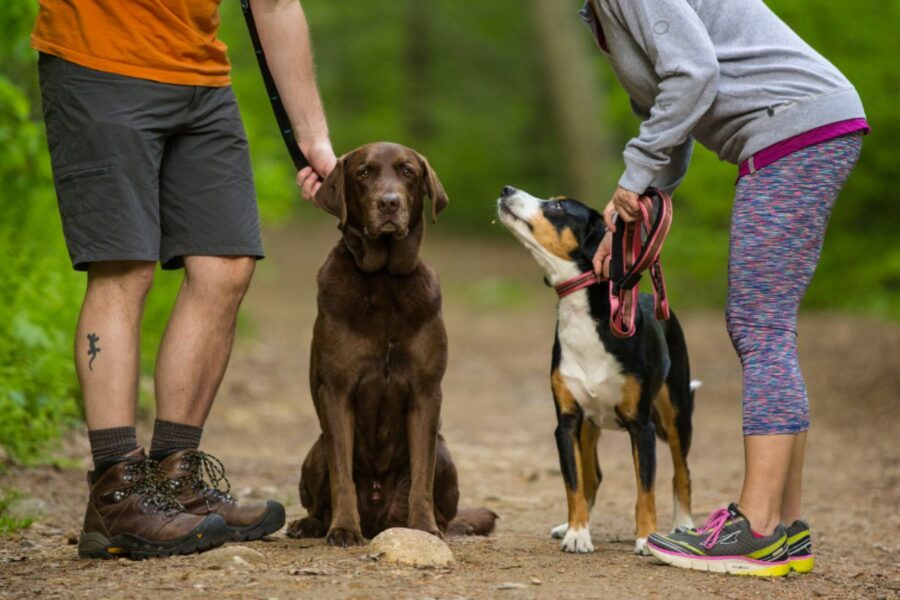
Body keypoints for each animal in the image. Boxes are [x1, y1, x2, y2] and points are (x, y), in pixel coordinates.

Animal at [500, 185, 696, 556]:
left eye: (558, 206)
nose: (507, 189)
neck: (587, 319)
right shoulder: (566, 422)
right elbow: (574, 484)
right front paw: (578, 533)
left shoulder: (642, 426)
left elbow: (645, 490)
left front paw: (646, 538)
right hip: (589, 426)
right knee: (593, 478)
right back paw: (570, 527)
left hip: (677, 414)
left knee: (682, 473)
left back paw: (684, 525)